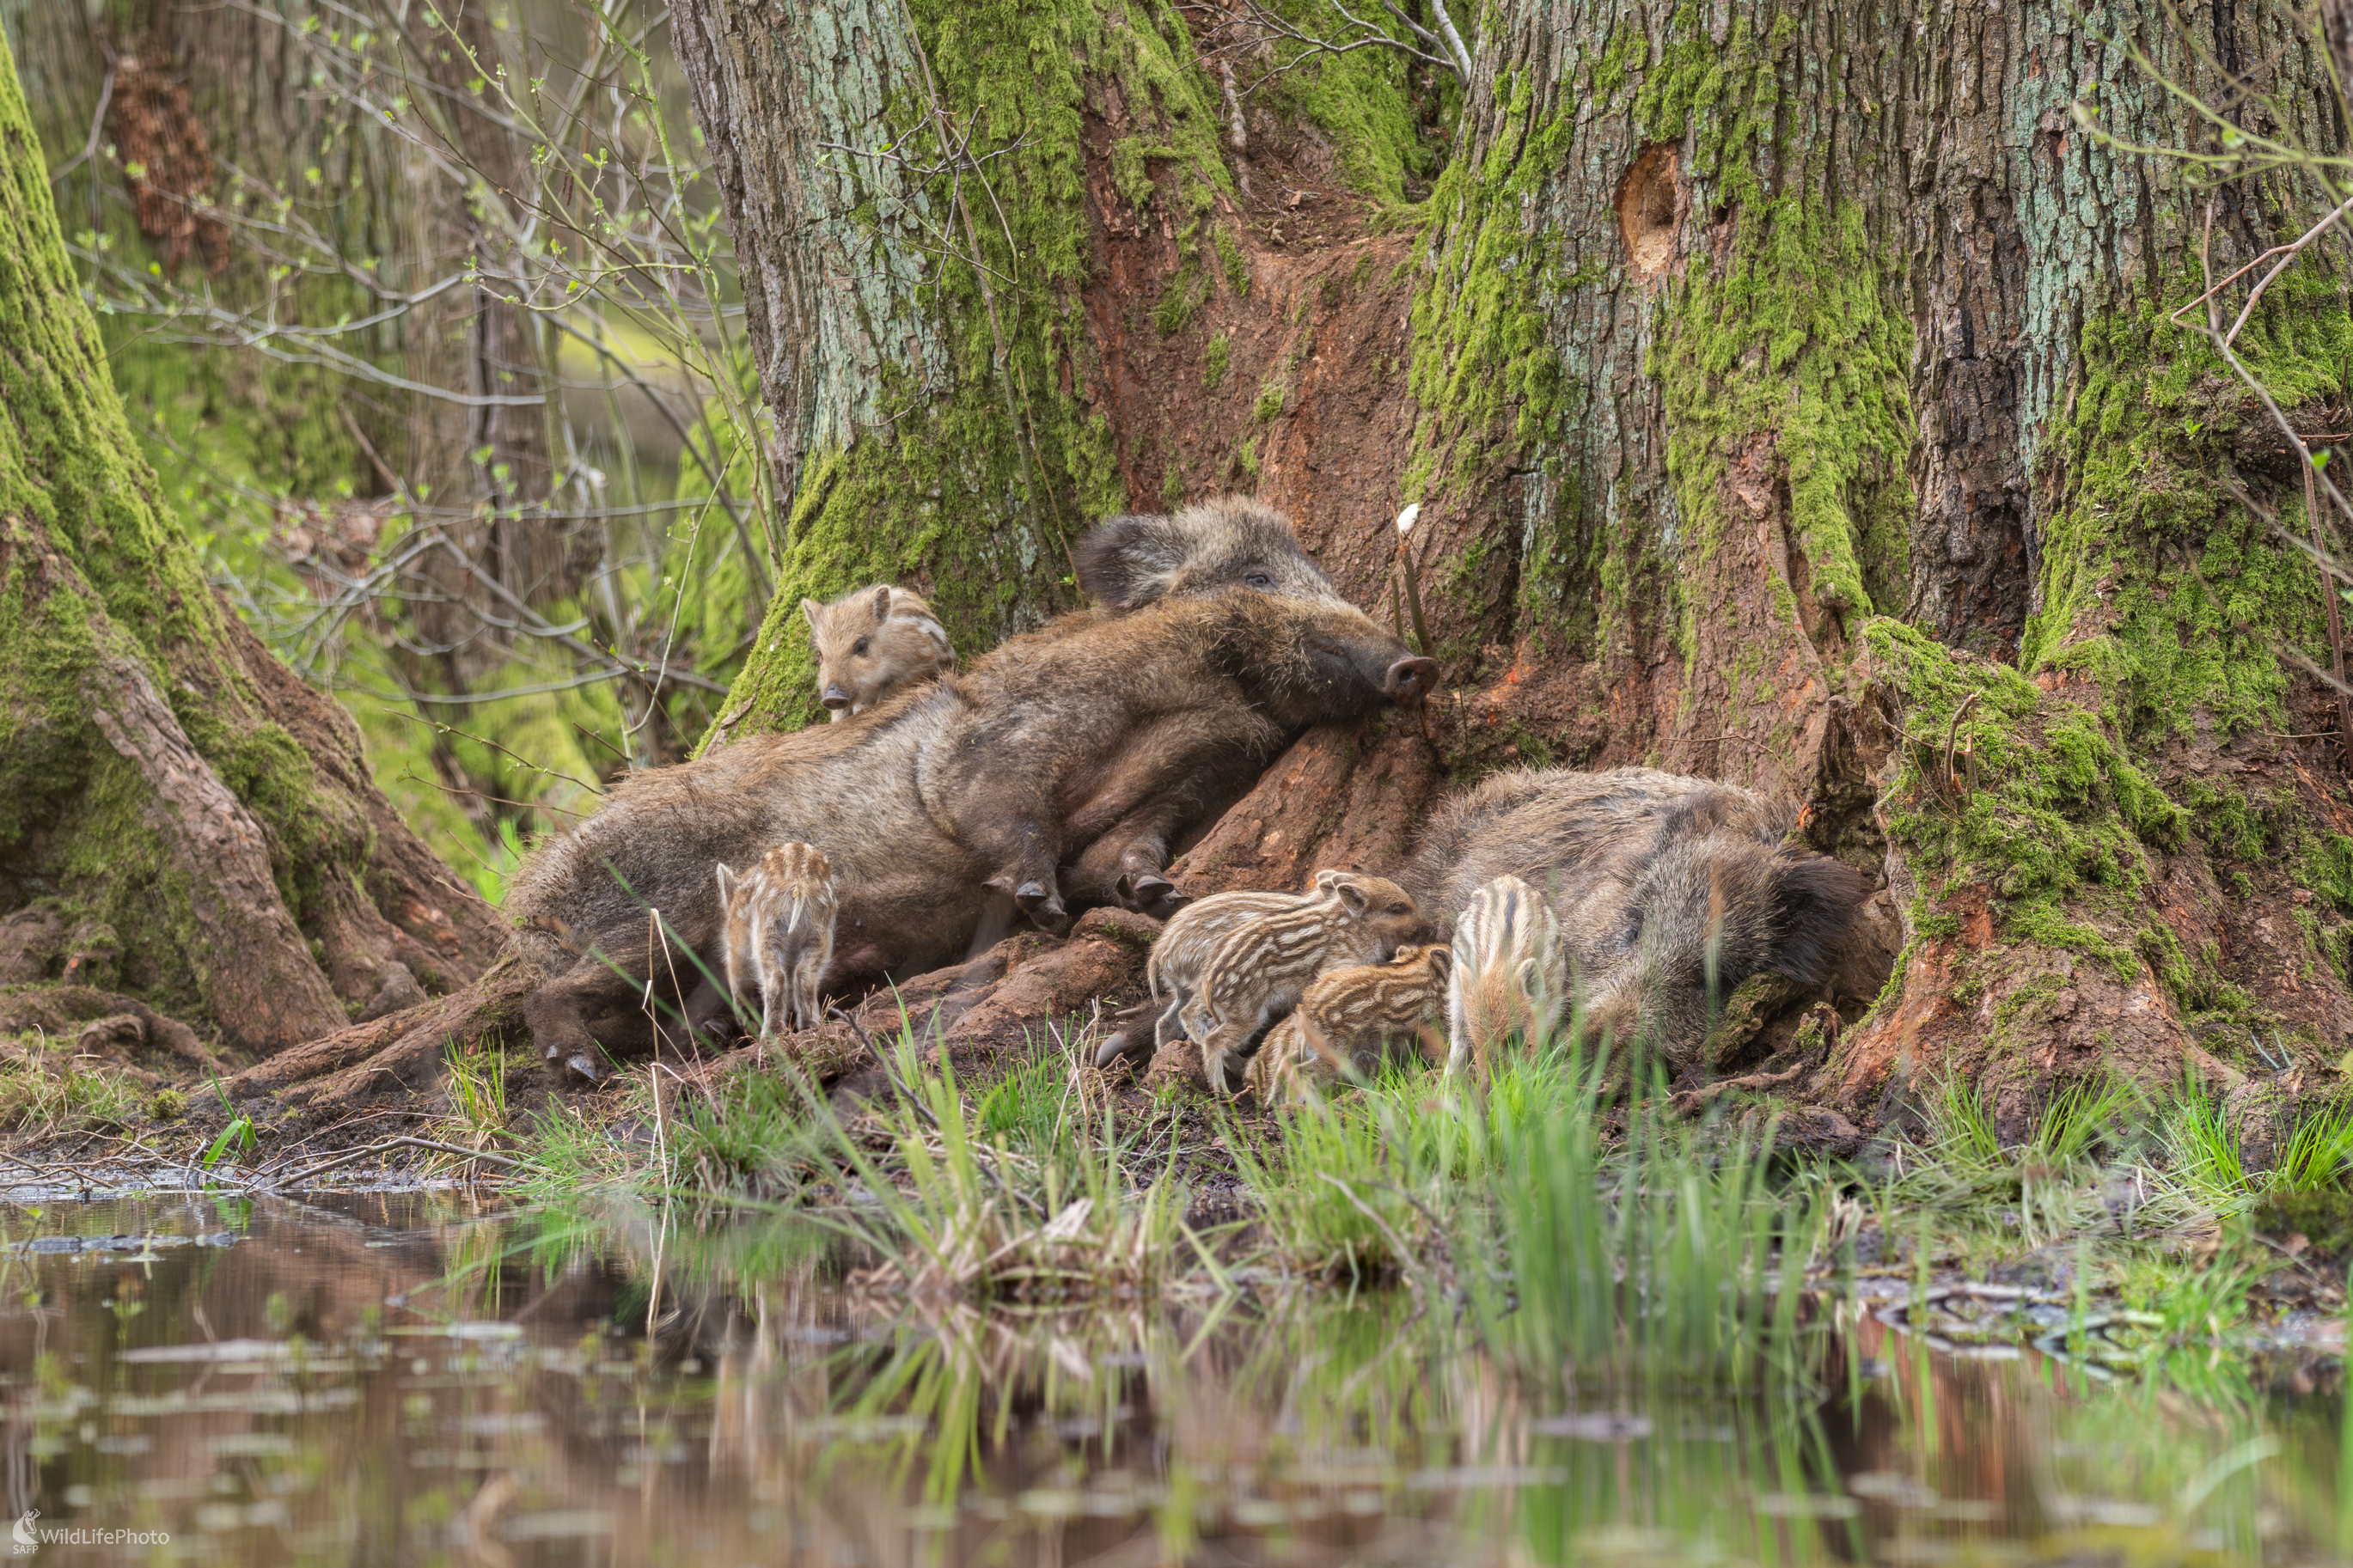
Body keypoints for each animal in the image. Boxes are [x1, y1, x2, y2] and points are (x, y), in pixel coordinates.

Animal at [716, 842, 837, 1036]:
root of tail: (799, 886)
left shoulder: (738, 942)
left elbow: (737, 973)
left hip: (767, 932)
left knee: (775, 978)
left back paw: (770, 1032)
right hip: (818, 934)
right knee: (804, 974)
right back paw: (809, 1026)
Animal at [1181, 873, 1428, 1093]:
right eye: (1397, 908)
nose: (1424, 924)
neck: (1357, 925)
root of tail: (1209, 984)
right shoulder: (1337, 963)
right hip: (1246, 1013)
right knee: (1213, 1041)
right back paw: (1222, 1092)